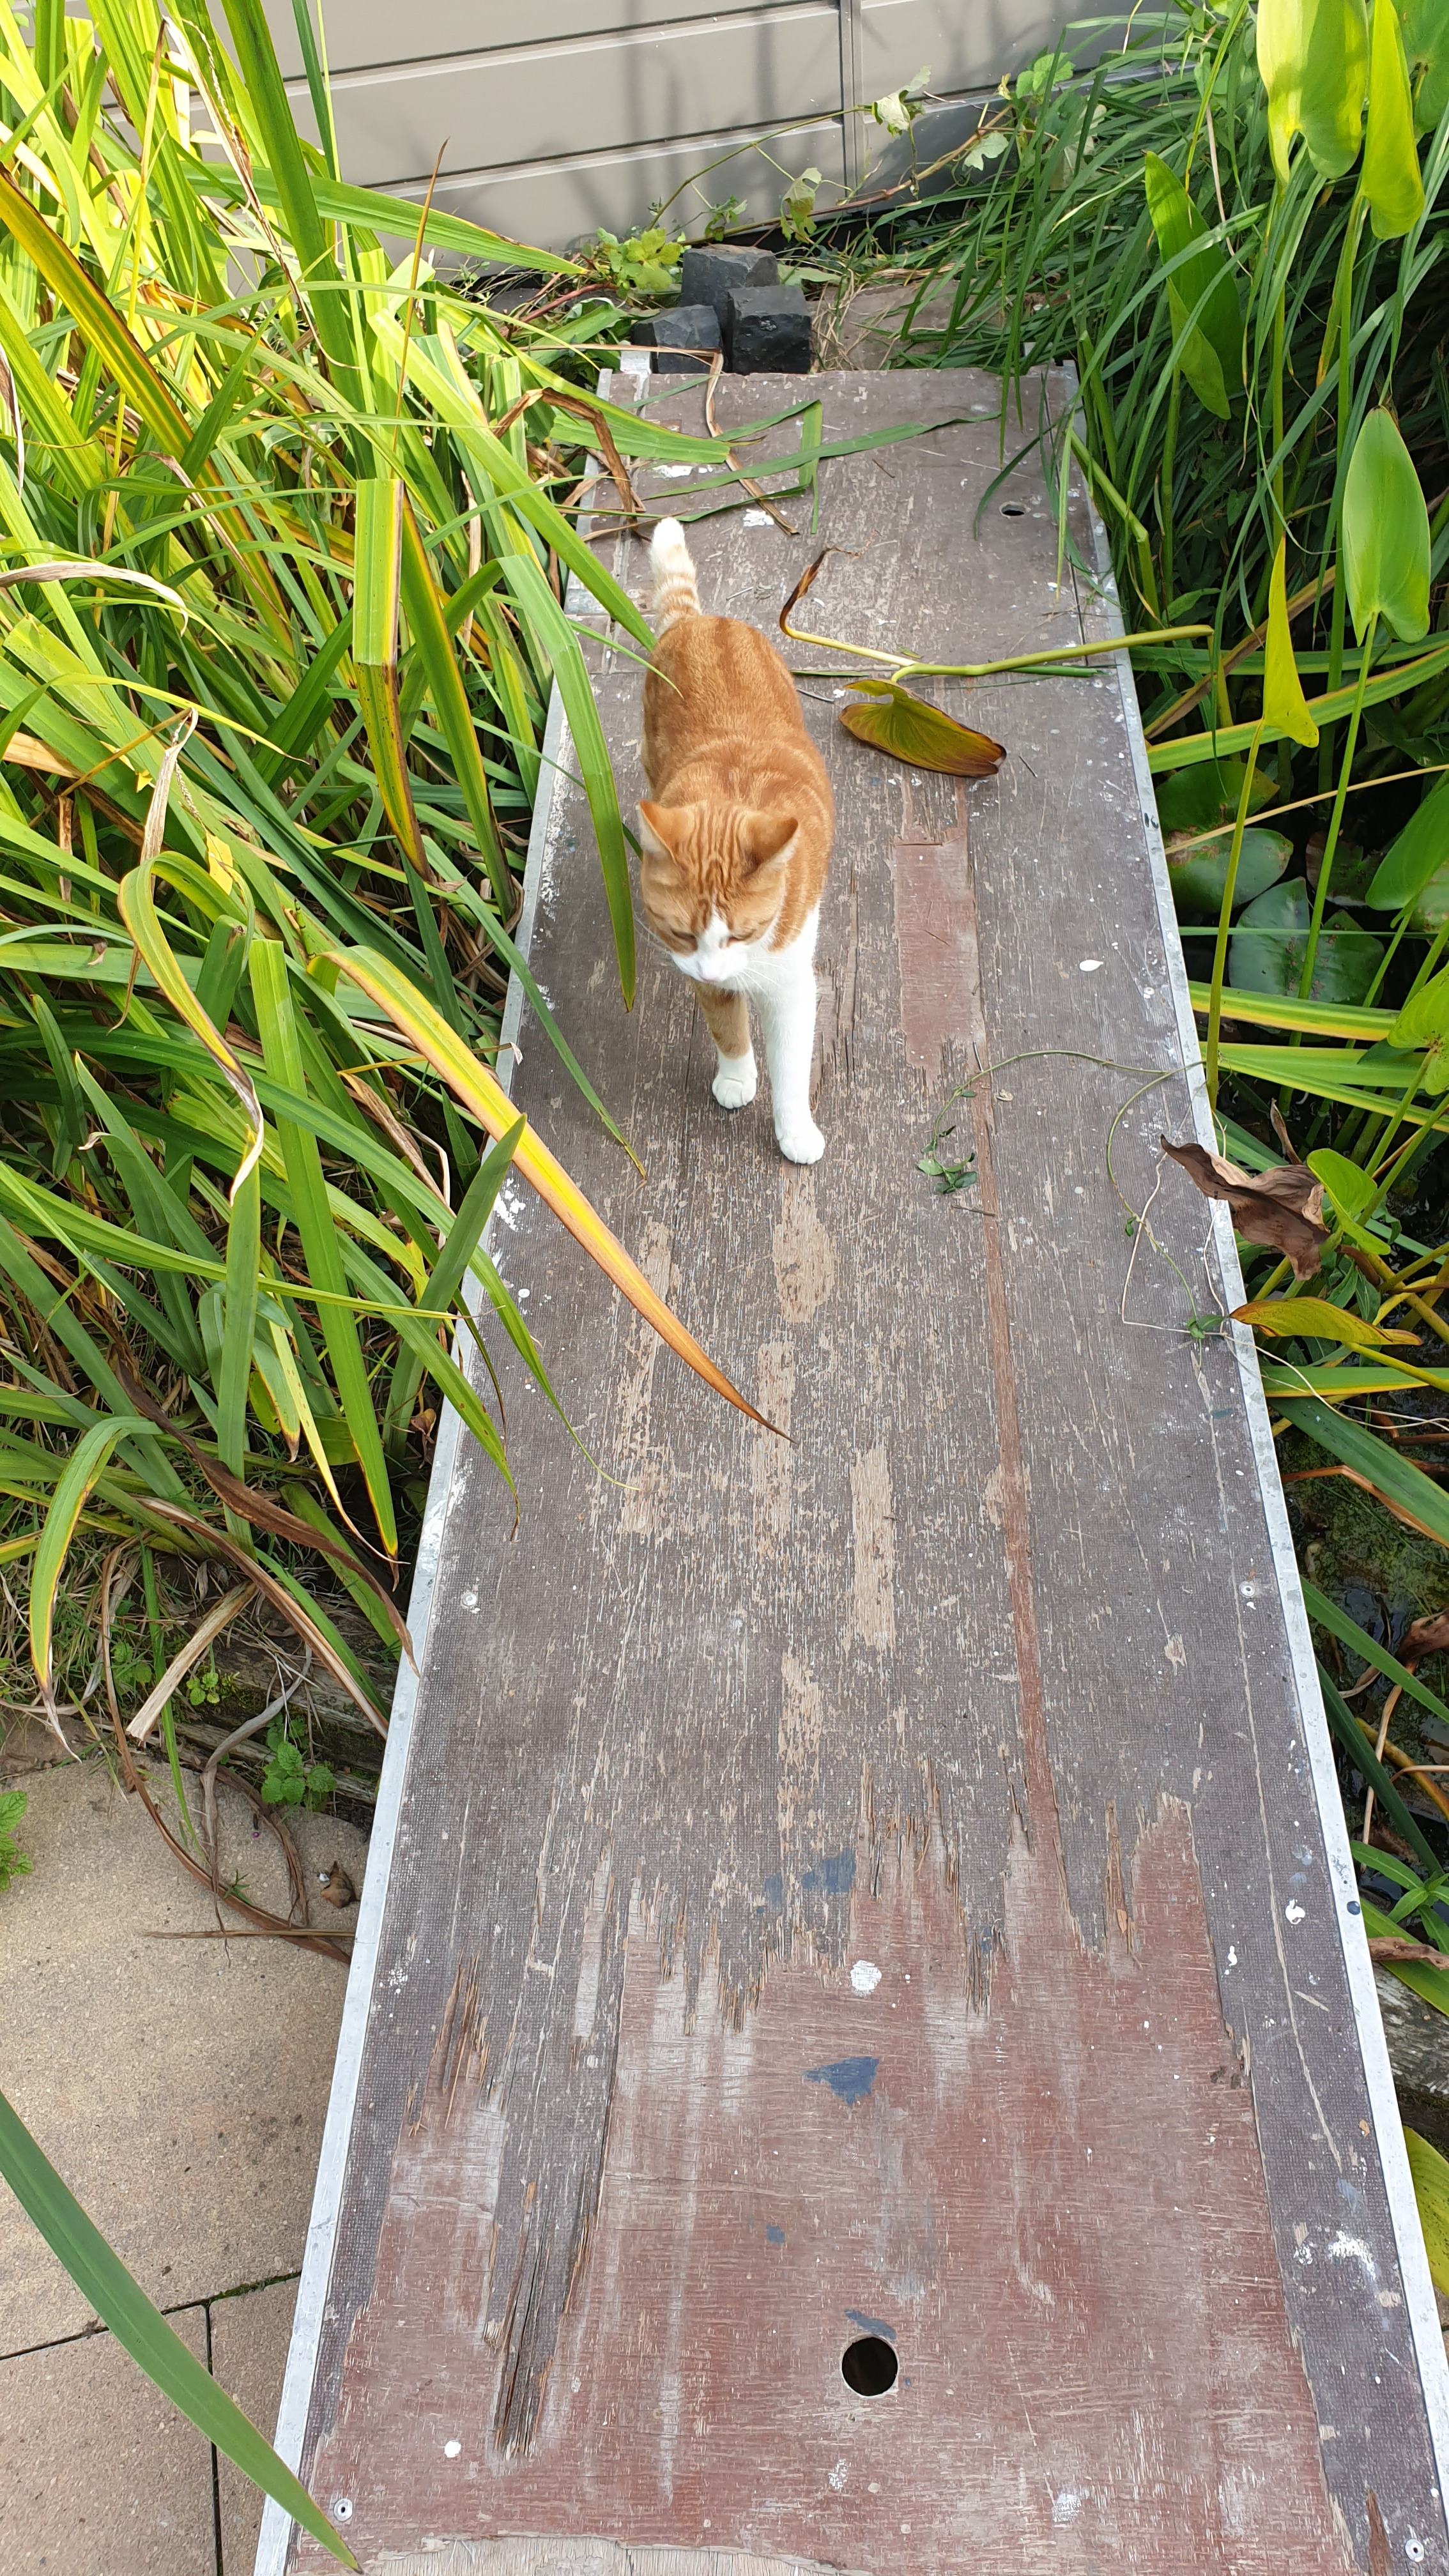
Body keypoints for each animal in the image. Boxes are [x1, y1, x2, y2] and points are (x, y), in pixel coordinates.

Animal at [637, 517, 833, 1165]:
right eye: (680, 932)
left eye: (745, 933)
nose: (718, 970)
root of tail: (702, 622)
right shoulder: (700, 974)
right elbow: (727, 1032)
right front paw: (737, 1078)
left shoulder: (791, 984)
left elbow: (792, 1068)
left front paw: (795, 1131)